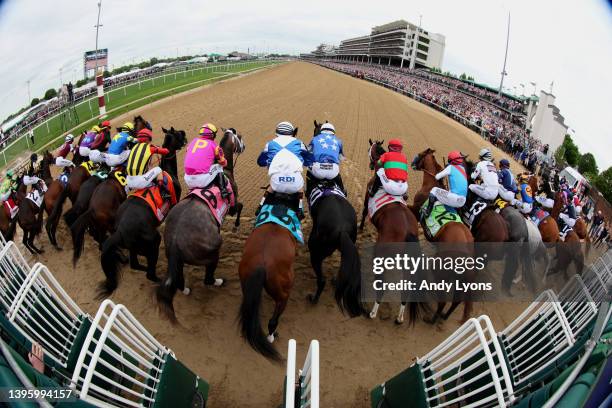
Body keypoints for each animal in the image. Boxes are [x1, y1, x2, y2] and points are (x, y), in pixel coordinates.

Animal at [95, 126, 185, 298]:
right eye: (178, 133)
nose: (185, 136)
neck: (168, 172)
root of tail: (120, 230)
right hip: (152, 241)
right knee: (149, 273)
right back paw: (161, 278)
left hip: (133, 247)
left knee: (135, 265)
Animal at [157, 127, 245, 322]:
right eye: (239, 138)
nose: (244, 147)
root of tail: (175, 242)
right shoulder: (232, 206)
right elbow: (240, 207)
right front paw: (236, 226)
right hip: (212, 252)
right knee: (208, 279)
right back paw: (219, 281)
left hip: (176, 259)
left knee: (179, 280)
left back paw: (186, 289)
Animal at [360, 140, 418, 326]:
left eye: (370, 149)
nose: (371, 164)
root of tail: (408, 232)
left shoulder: (366, 197)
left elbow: (364, 213)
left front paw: (360, 228)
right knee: (406, 288)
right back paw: (399, 317)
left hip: (382, 254)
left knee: (382, 284)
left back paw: (372, 312)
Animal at [412, 147, 474, 326]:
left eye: (421, 154)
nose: (412, 163)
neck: (430, 184)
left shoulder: (415, 209)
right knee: (456, 300)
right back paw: (444, 316)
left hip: (440, 272)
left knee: (443, 301)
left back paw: (431, 319)